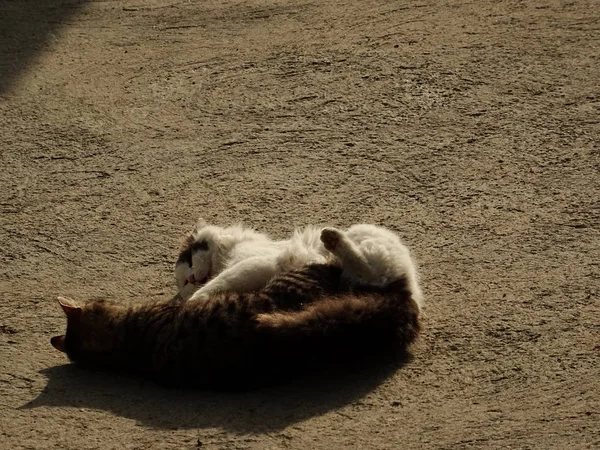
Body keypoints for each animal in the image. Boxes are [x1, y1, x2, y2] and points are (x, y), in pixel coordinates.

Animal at [176, 219, 424, 310]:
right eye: (184, 283)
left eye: (189, 262)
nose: (191, 279)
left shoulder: (256, 263)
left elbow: (216, 284)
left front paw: (192, 301)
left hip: (364, 238)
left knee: (361, 263)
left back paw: (331, 239)